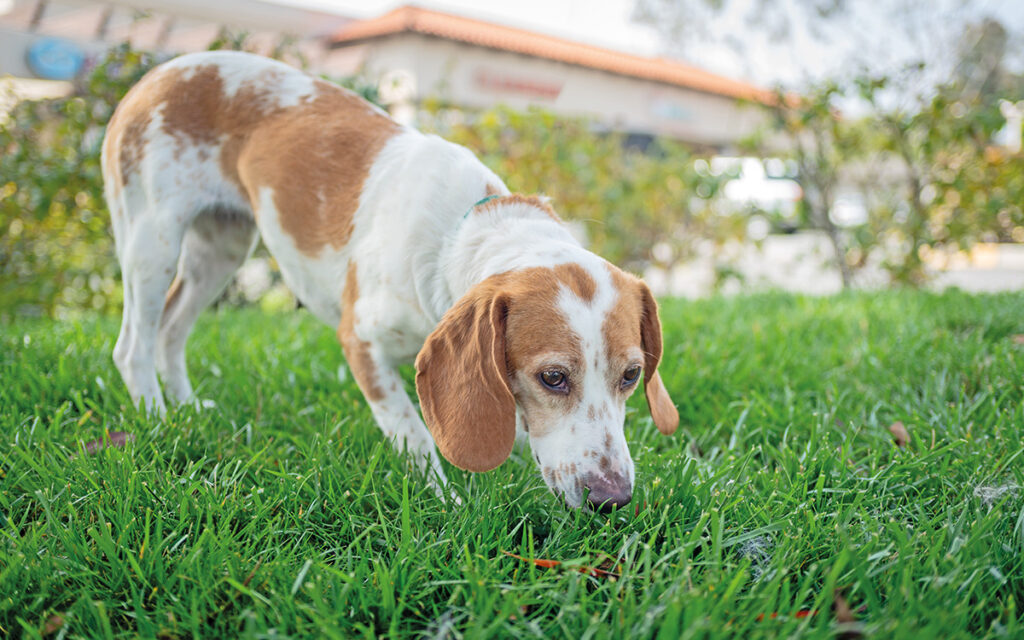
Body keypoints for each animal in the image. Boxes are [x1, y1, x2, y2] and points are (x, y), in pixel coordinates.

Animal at [101, 51, 679, 509]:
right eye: (553, 377)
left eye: (632, 375)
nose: (612, 499)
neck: (456, 235)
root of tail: (160, 72)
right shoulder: (360, 342)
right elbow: (414, 432)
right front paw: (443, 501)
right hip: (152, 242)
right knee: (132, 346)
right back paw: (156, 418)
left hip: (220, 249)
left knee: (170, 329)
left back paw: (185, 410)